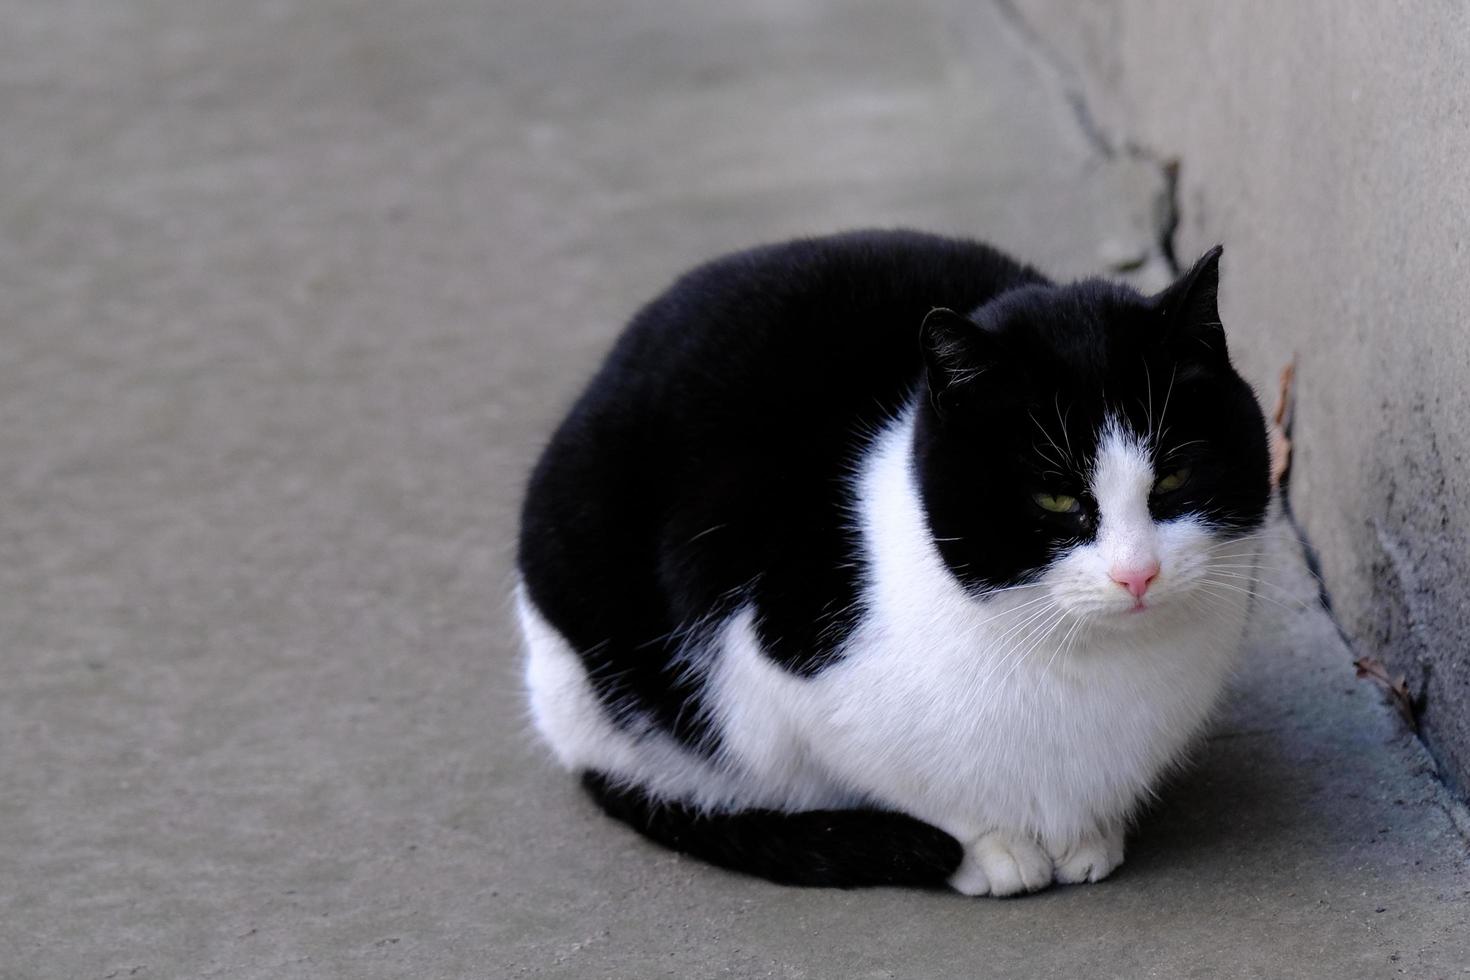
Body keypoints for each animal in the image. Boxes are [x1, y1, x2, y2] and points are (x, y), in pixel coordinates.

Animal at [511, 230, 1270, 899]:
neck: (1080, 660)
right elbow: (912, 787)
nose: (1137, 573)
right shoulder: (769, 658)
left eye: (1174, 478)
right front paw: (991, 848)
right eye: (1056, 497)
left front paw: (1089, 834)